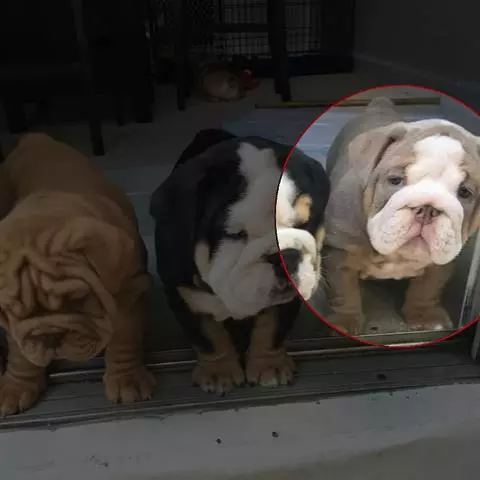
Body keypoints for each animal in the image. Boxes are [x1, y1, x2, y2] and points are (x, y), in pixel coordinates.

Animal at [150, 129, 329, 393]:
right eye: (234, 234)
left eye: (304, 224)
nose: (285, 255)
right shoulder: (183, 295)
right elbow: (208, 337)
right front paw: (218, 371)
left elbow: (272, 328)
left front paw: (269, 366)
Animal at [323, 97, 480, 335]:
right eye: (395, 180)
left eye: (465, 192)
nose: (427, 208)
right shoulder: (340, 250)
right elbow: (342, 289)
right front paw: (344, 322)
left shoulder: (442, 259)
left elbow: (429, 287)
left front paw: (425, 316)